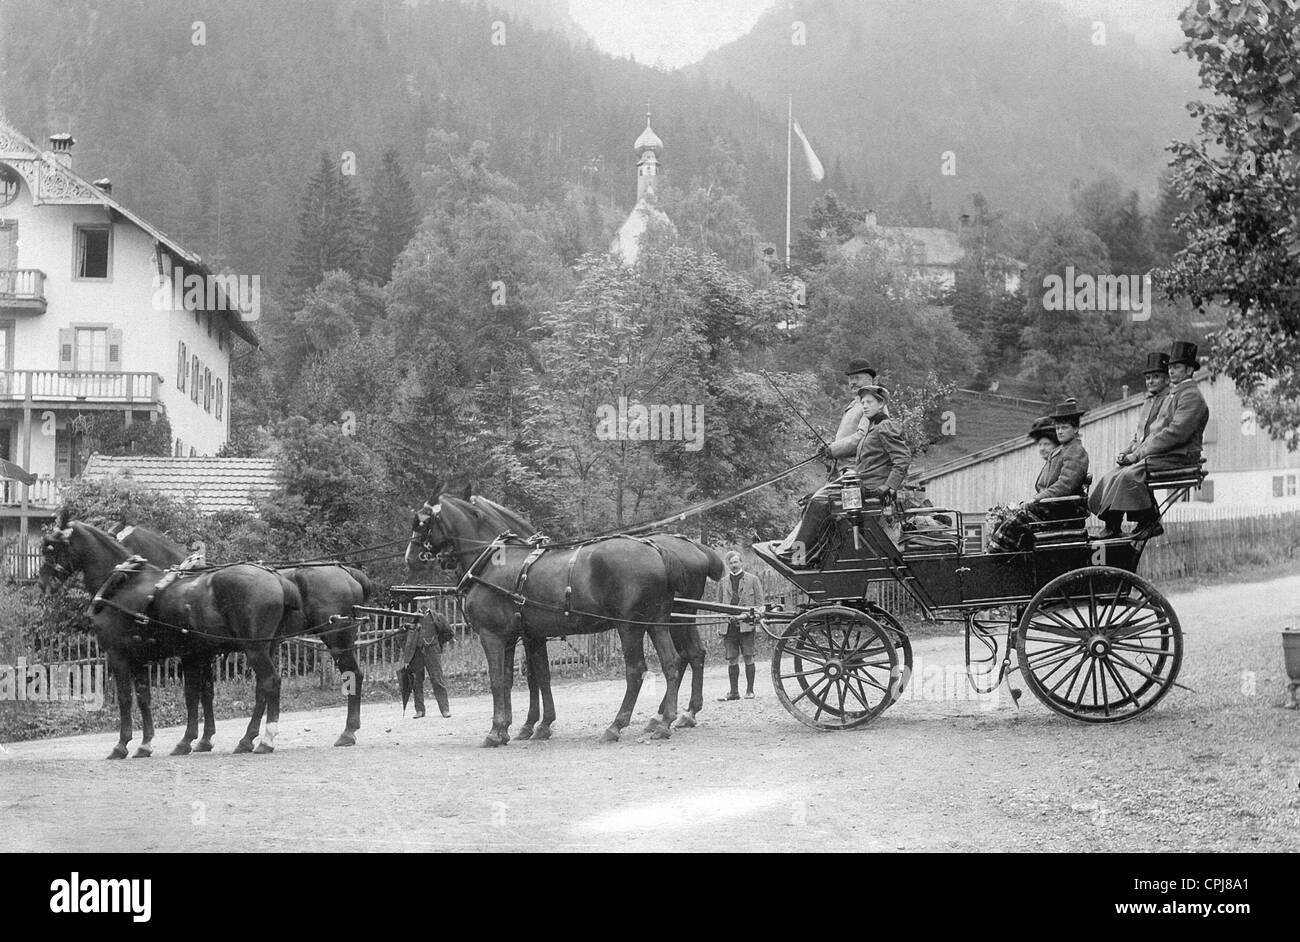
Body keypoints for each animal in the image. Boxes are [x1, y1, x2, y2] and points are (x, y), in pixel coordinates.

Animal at [38, 522, 304, 758]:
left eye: (50, 548)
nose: (43, 584)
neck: (124, 585)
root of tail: (277, 579)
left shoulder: (119, 656)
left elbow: (127, 698)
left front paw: (122, 745)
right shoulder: (148, 658)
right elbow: (148, 697)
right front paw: (147, 744)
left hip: (254, 649)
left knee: (270, 682)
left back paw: (264, 740)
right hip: (267, 647)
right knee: (262, 688)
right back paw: (249, 739)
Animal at [96, 517, 369, 748]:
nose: (112, 580)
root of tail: (346, 571)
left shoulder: (196, 653)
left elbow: (198, 693)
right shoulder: (210, 652)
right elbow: (210, 693)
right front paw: (208, 738)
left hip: (335, 637)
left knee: (352, 674)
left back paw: (346, 732)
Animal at [408, 491, 722, 743]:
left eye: (421, 523)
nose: (410, 557)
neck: (493, 561)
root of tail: (659, 551)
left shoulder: (493, 636)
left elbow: (499, 680)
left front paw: (497, 732)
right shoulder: (526, 636)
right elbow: (532, 678)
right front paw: (531, 726)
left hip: (632, 627)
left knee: (638, 670)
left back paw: (617, 725)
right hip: (657, 623)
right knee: (674, 662)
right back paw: (666, 720)